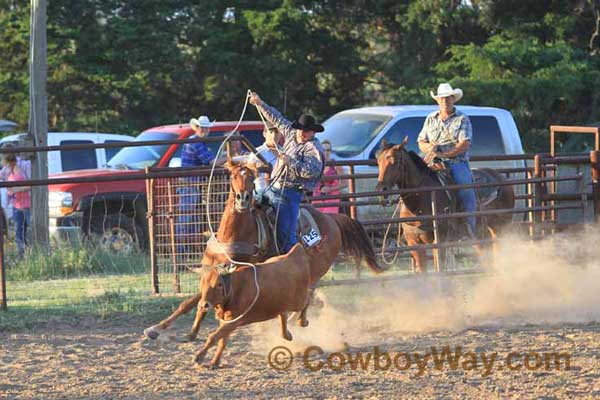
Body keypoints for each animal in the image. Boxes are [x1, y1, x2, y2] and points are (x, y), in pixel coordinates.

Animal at [144, 159, 384, 340]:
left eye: (251, 177)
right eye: (233, 176)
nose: (243, 199)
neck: (232, 234)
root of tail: (332, 219)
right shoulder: (211, 271)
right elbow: (190, 301)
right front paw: (157, 329)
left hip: (316, 269)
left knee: (307, 293)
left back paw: (297, 320)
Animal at [372, 137, 512, 272]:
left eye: (395, 161)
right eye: (378, 161)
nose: (381, 189)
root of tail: (500, 177)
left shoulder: (439, 240)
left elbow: (439, 268)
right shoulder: (414, 243)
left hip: (501, 227)